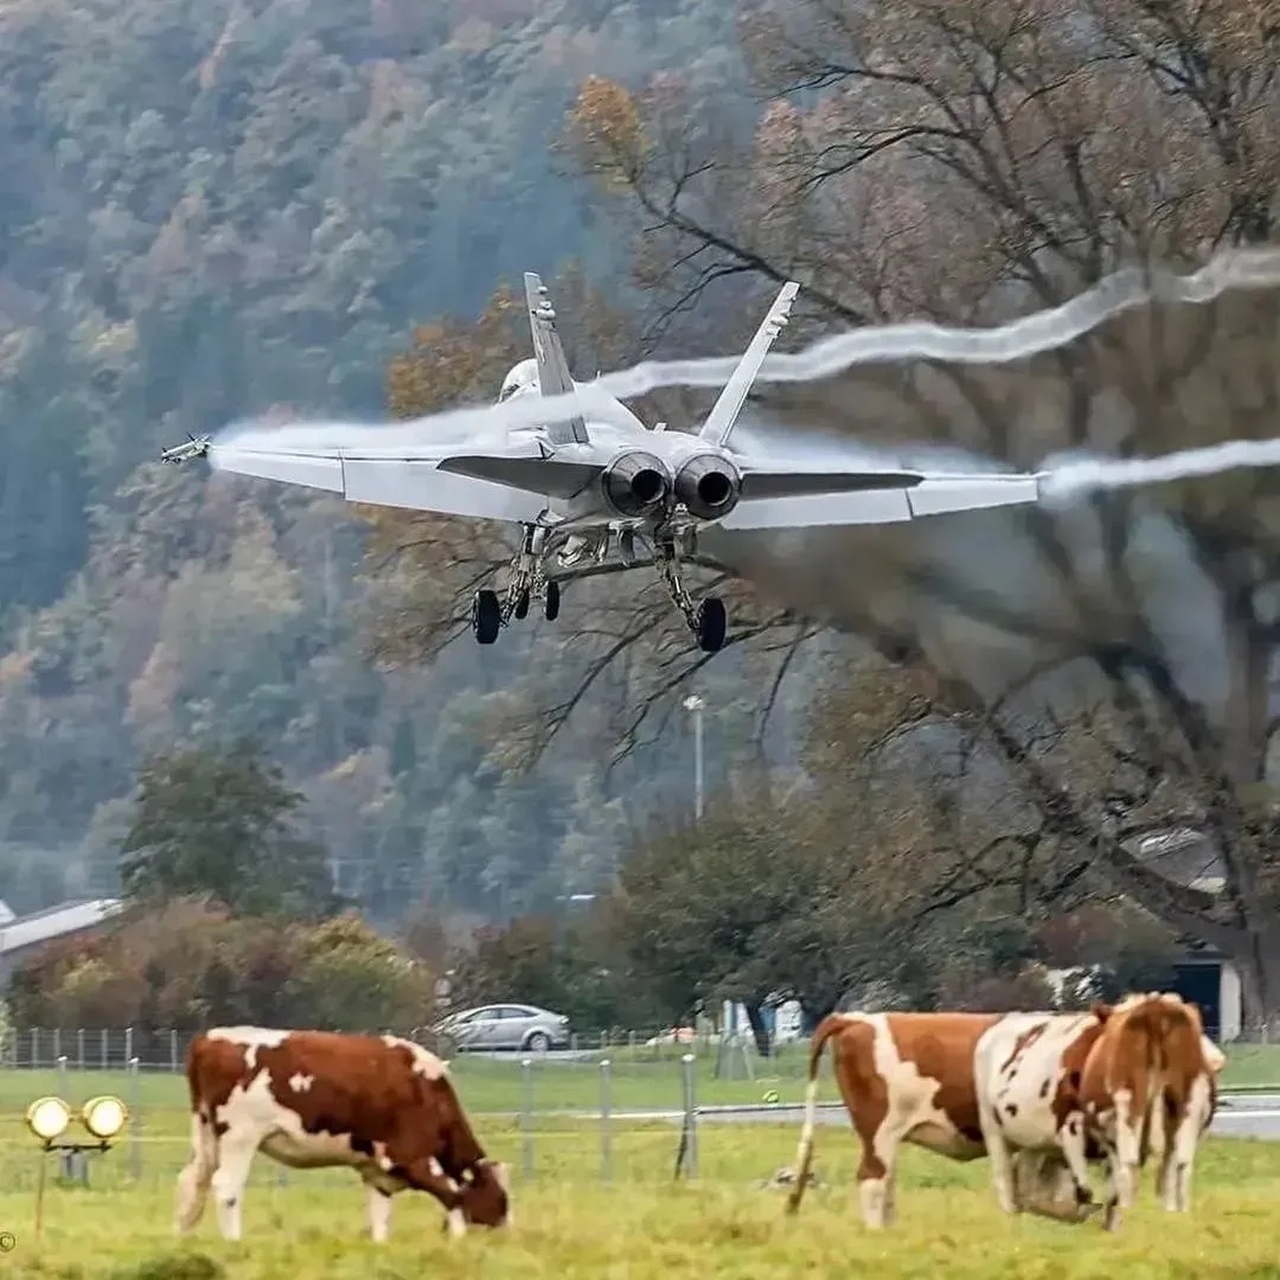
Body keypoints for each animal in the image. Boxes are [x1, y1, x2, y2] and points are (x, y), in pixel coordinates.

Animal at [174, 1024, 509, 1244]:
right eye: (501, 1198)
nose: (507, 1232)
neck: (425, 1088)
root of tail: (209, 1038)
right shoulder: (410, 1156)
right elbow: (452, 1194)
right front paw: (459, 1242)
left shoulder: (377, 1169)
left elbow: (380, 1212)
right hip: (240, 1136)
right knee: (226, 1187)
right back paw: (234, 1242)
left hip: (206, 1135)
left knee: (192, 1180)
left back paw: (182, 1236)